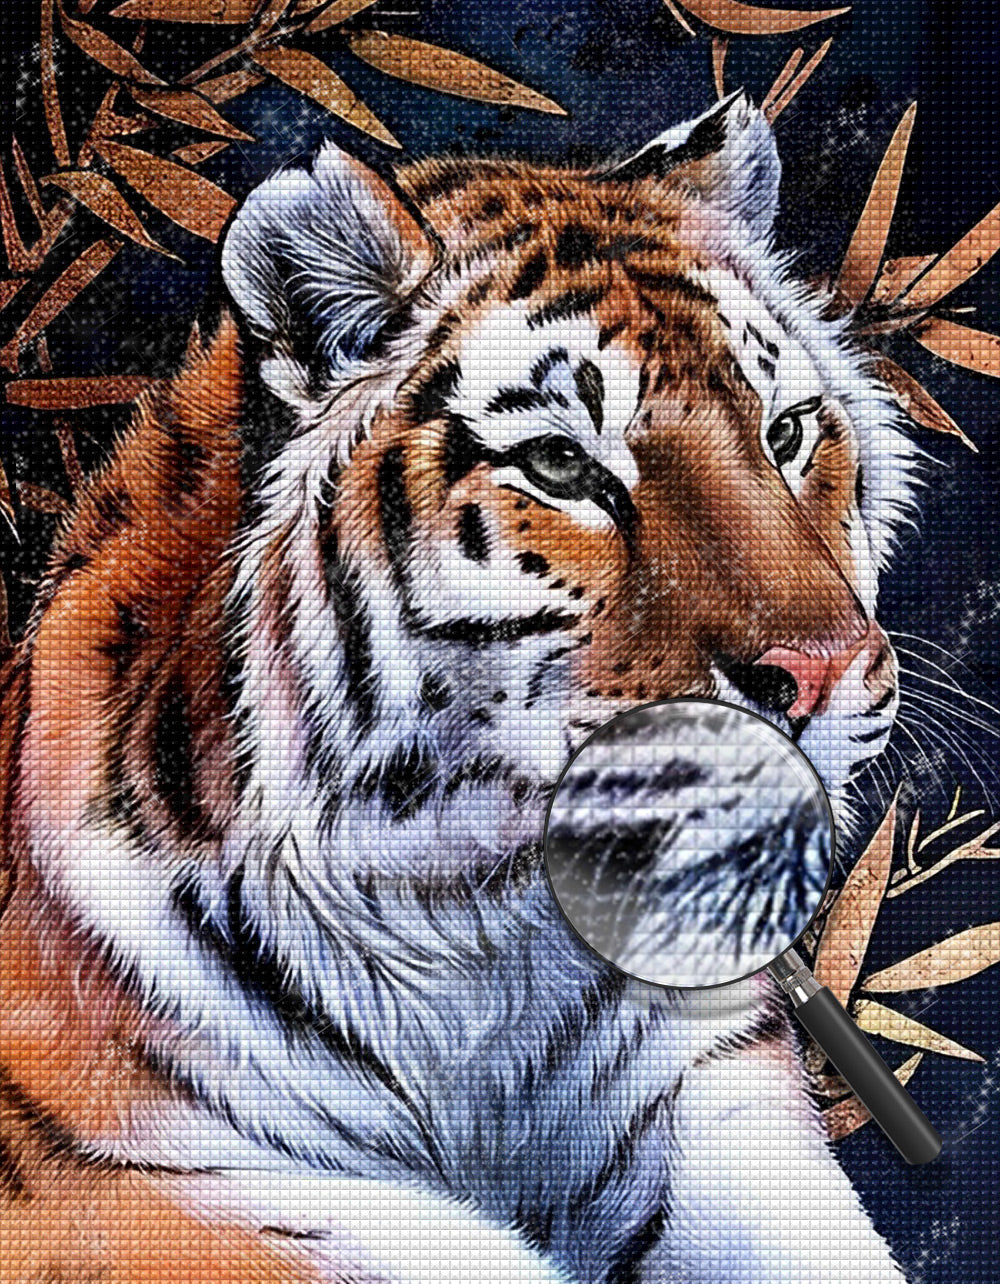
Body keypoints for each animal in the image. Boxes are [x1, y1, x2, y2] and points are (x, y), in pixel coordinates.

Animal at [0, 89, 925, 1282]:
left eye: (786, 432)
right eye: (561, 466)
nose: (824, 670)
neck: (476, 919)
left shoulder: (709, 1090)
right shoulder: (112, 1175)